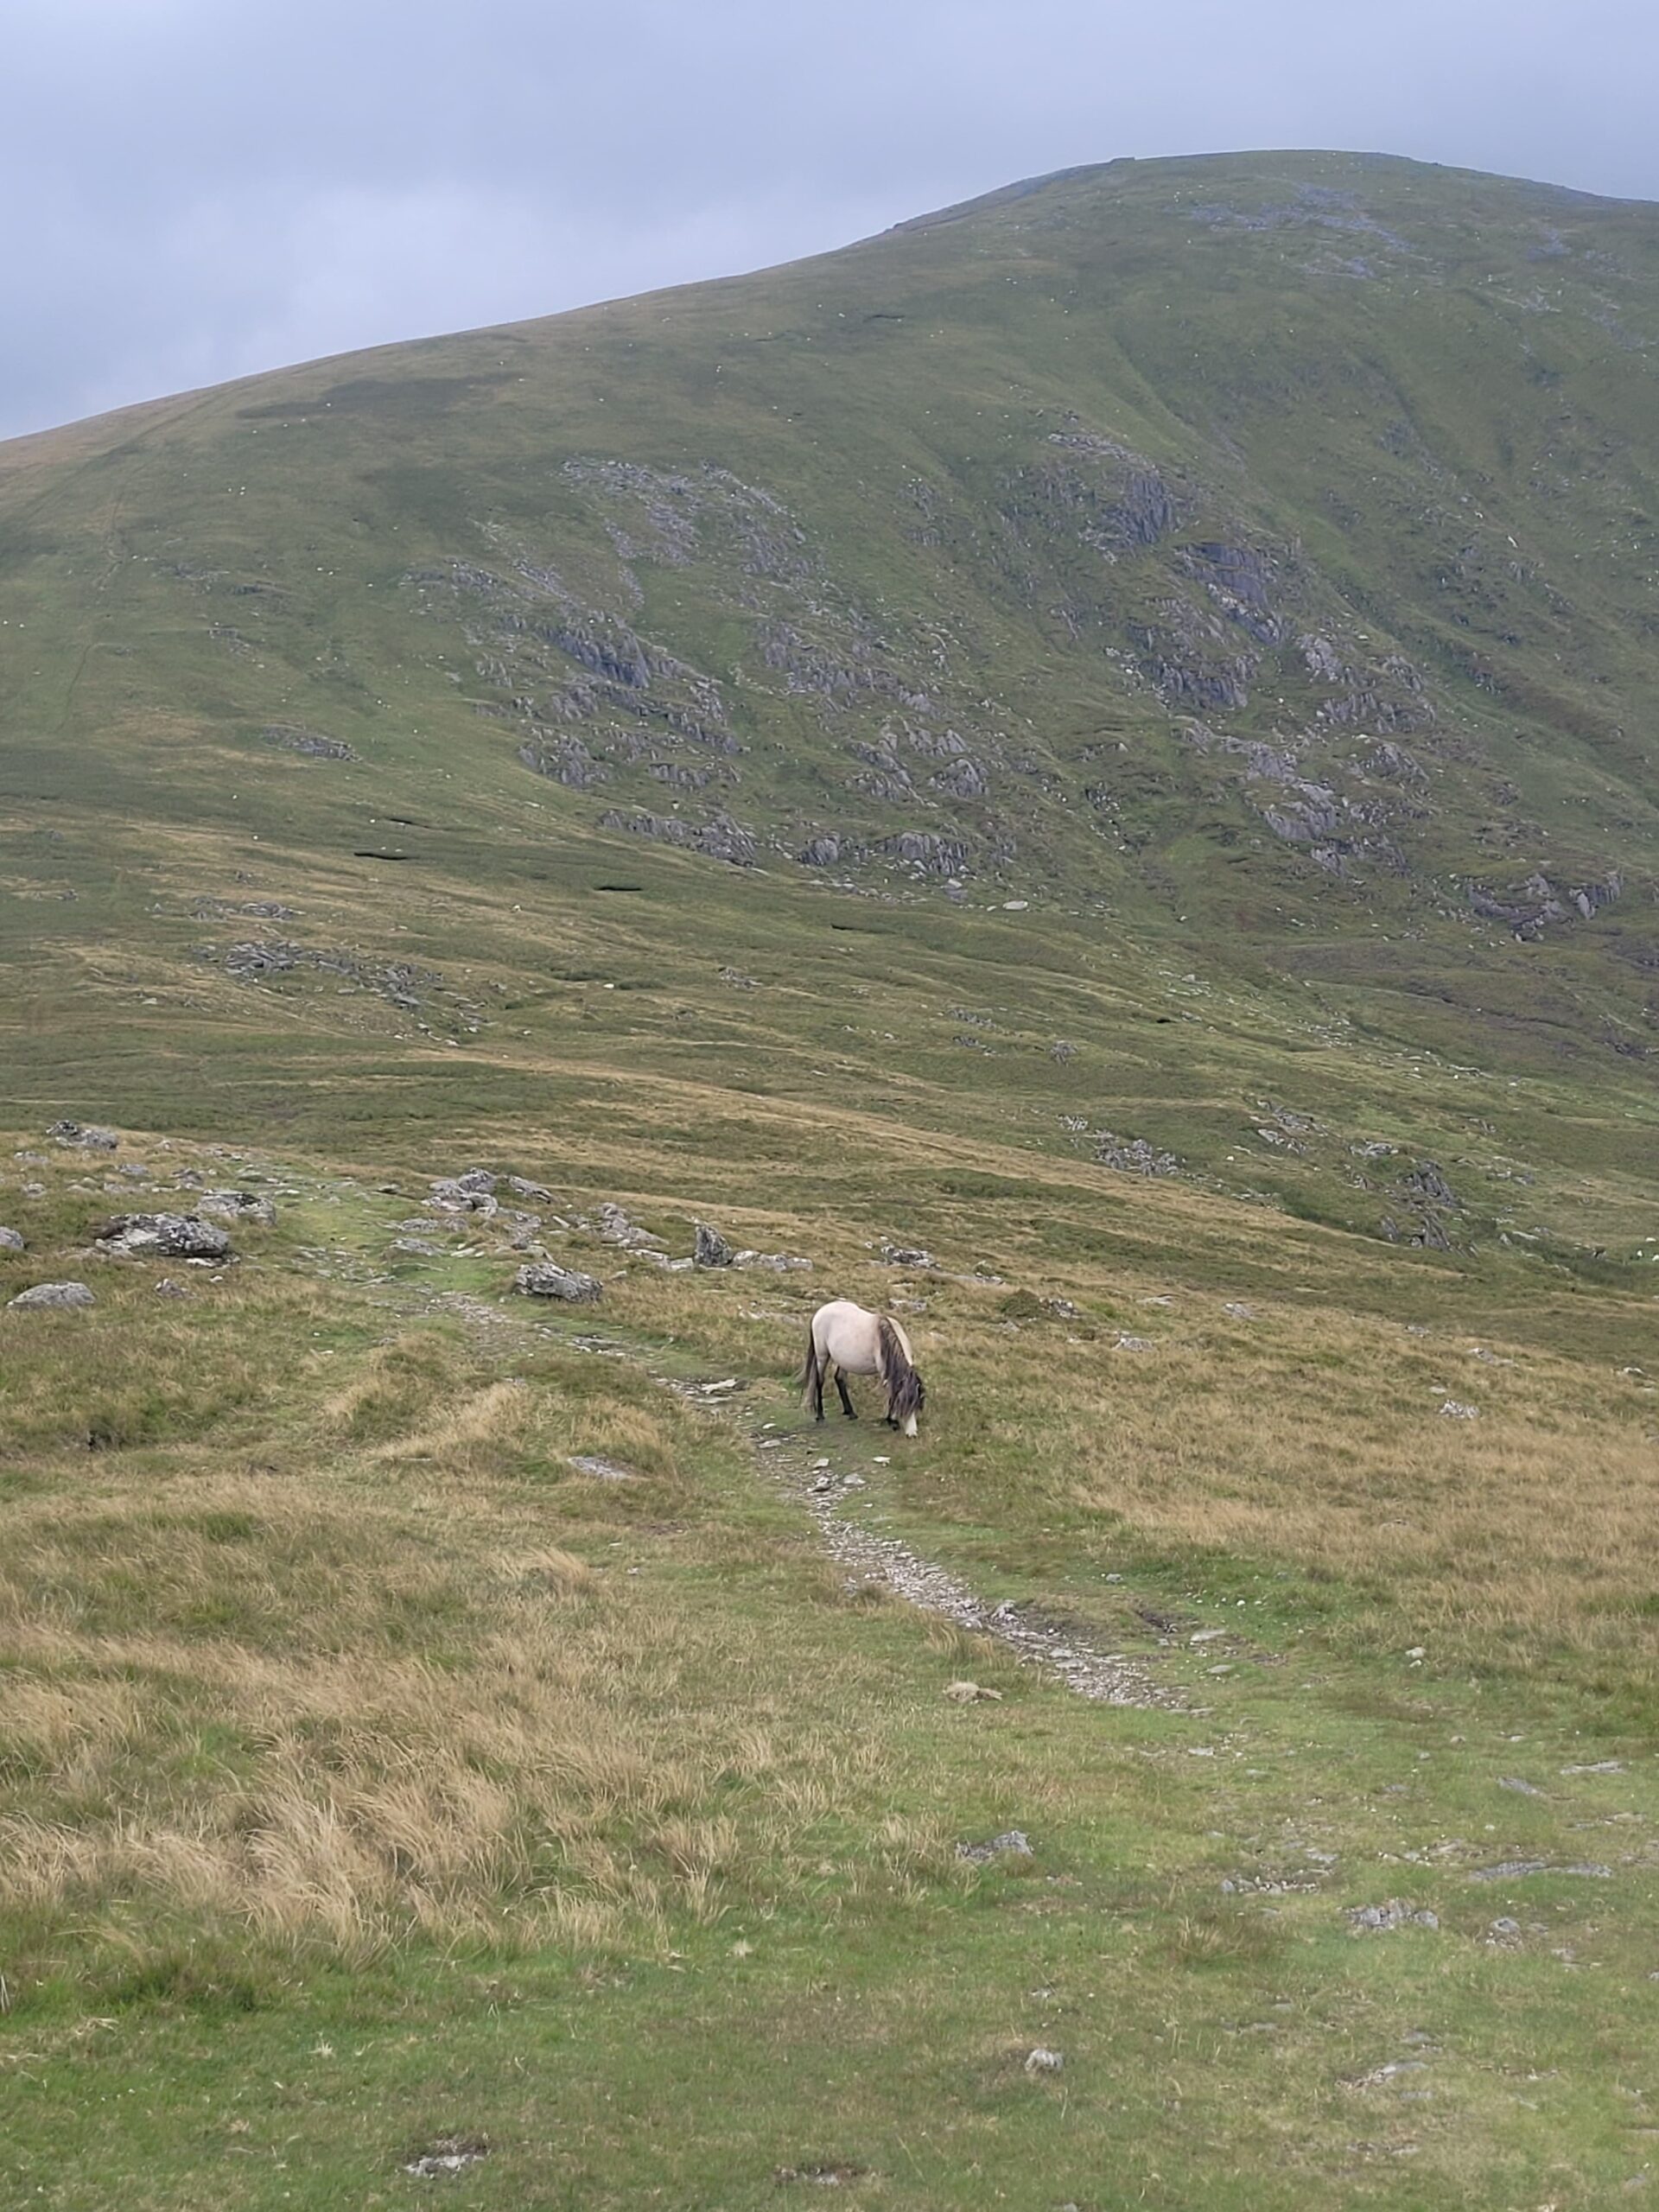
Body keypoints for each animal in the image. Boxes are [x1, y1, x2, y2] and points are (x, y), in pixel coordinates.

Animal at [798, 1298, 926, 1436]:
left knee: (839, 1379)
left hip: (843, 1360)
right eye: (902, 1405)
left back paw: (851, 1413)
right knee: (820, 1381)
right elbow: (891, 1393)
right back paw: (820, 1416)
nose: (912, 1434)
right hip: (822, 1356)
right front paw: (891, 1421)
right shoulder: (884, 1372)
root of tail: (820, 1311)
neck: (883, 1338)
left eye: (917, 1406)